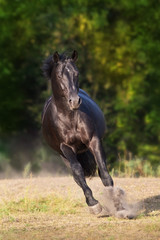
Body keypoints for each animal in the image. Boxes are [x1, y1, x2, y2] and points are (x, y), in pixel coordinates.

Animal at [42, 50, 113, 216]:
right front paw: (94, 204)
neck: (69, 117)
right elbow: (78, 172)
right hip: (63, 156)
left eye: (77, 73)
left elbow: (104, 171)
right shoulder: (66, 148)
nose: (74, 101)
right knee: (76, 176)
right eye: (59, 75)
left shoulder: (94, 140)